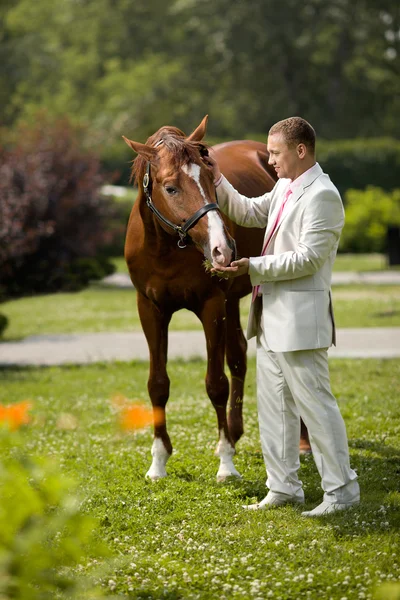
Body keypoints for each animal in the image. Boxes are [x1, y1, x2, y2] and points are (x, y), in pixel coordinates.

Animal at [123, 116, 310, 482]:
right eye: (171, 188)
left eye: (212, 179)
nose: (223, 249)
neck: (166, 248)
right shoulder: (150, 309)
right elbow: (158, 384)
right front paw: (158, 461)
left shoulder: (211, 305)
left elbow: (216, 384)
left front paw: (226, 463)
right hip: (231, 302)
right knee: (237, 356)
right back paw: (236, 432)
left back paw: (302, 441)